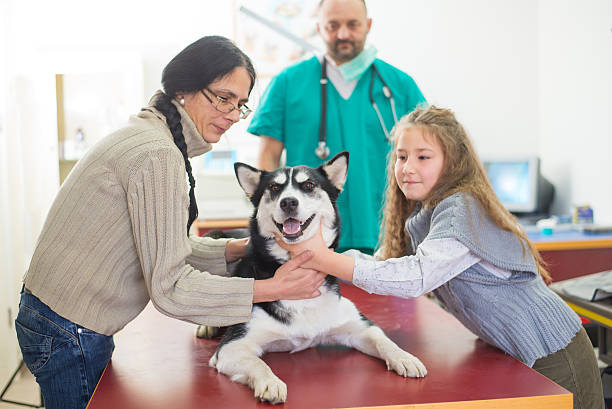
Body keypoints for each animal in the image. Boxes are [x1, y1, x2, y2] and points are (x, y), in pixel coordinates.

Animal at [208, 152, 428, 402]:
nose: (288, 202)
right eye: (274, 187)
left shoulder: (359, 326)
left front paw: (404, 357)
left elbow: (383, 339)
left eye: (309, 185)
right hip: (213, 235)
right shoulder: (233, 346)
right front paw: (270, 382)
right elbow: (257, 363)